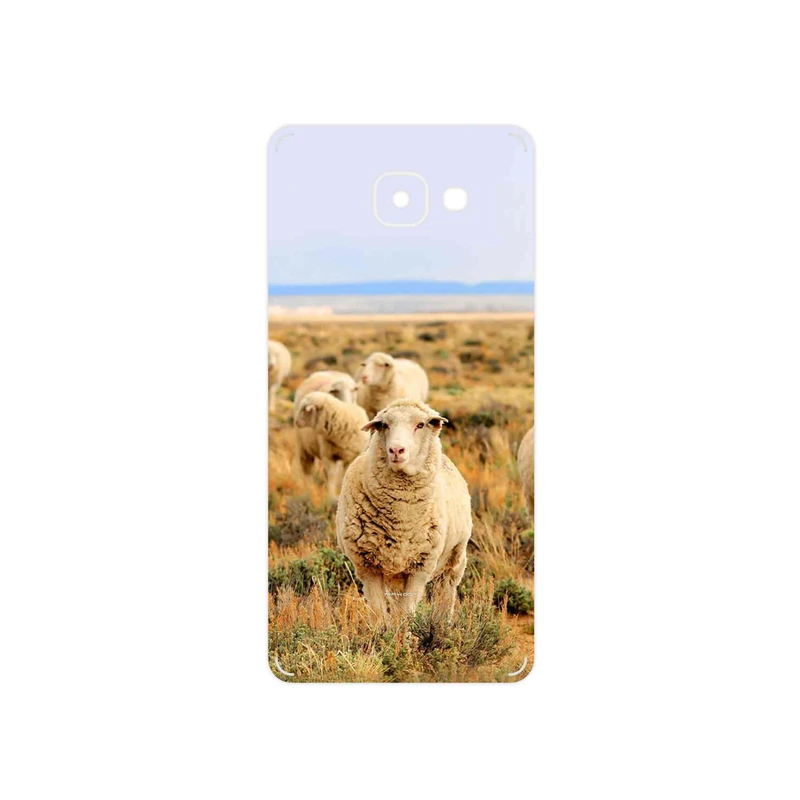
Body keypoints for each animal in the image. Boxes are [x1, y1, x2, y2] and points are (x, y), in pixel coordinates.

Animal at [336, 399, 472, 623]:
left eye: (420, 425)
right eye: (384, 425)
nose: (396, 450)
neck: (401, 519)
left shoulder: (420, 567)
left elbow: (406, 613)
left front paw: (405, 632)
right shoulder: (367, 566)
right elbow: (379, 613)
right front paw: (383, 631)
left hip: (454, 558)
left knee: (446, 591)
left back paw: (442, 623)